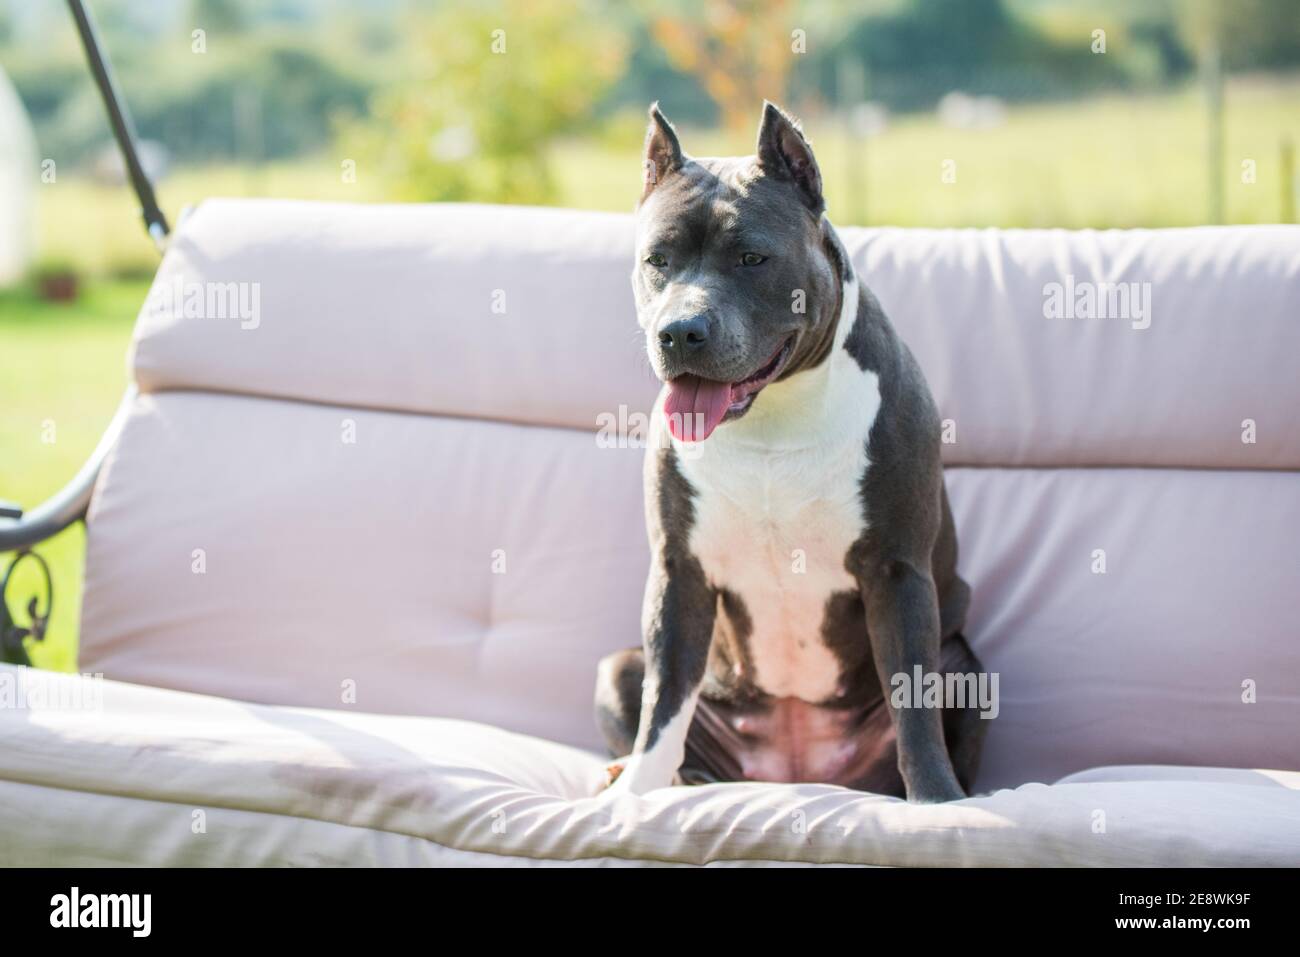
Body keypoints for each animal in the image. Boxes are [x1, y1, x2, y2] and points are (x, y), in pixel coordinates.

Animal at [598, 102, 982, 800]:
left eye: (752, 257)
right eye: (656, 259)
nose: (679, 331)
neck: (770, 419)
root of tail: (794, 772)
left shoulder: (898, 572)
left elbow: (914, 703)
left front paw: (939, 804)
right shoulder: (679, 572)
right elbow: (663, 703)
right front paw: (635, 796)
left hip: (967, 663)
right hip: (616, 668)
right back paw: (664, 779)